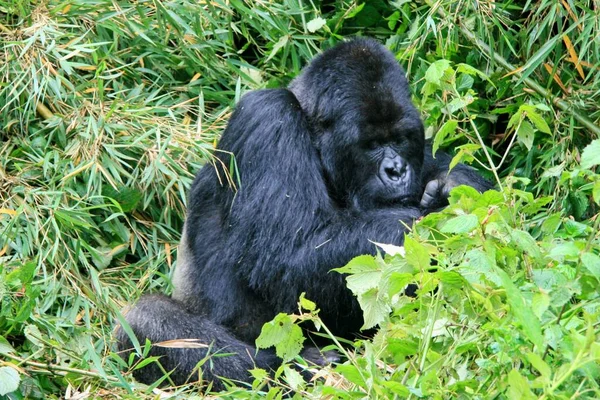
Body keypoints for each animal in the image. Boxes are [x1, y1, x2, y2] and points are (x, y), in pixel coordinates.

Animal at [116, 38, 492, 390]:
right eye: (371, 144)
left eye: (400, 139)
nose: (396, 170)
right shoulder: (269, 117)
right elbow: (290, 257)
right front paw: (426, 224)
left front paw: (452, 189)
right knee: (145, 322)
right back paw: (302, 368)